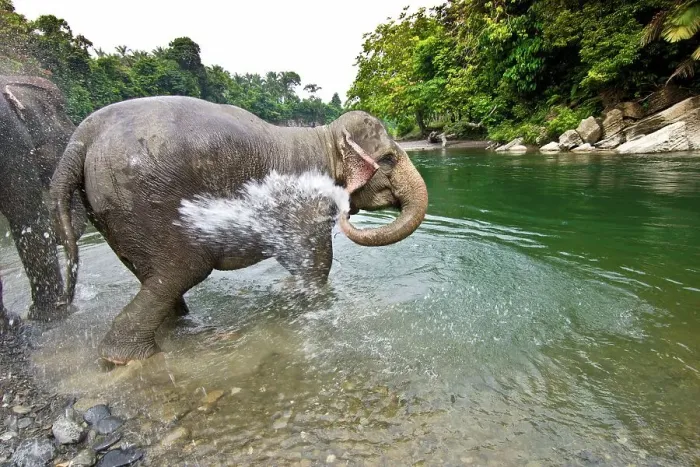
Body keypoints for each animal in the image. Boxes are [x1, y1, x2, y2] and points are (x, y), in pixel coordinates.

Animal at [50, 95, 428, 366]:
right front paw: (312, 303)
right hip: (147, 204)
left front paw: (289, 292)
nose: (347, 212)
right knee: (181, 271)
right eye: (389, 159)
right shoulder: (305, 200)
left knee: (155, 279)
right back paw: (133, 358)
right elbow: (316, 261)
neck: (325, 137)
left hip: (114, 214)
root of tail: (81, 137)